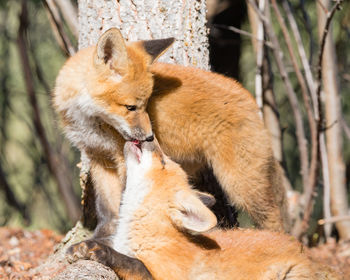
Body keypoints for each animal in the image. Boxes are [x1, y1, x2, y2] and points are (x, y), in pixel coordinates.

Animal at [54, 27, 288, 243]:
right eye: (131, 107)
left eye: (147, 104)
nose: (149, 137)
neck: (90, 122)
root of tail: (250, 100)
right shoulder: (98, 157)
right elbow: (107, 210)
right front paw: (99, 238)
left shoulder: (123, 159)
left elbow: (125, 201)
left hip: (241, 185)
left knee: (274, 217)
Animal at [68, 141, 340, 278]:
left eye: (163, 161)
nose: (146, 137)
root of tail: (301, 248)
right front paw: (80, 246)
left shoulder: (165, 275)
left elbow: (132, 263)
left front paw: (98, 251)